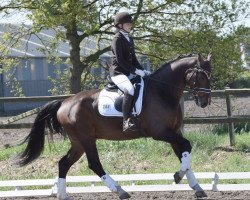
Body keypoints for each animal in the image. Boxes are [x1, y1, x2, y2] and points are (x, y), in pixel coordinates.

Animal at [18, 53, 212, 200]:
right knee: (94, 164)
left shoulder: (174, 132)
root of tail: (64, 103)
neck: (163, 92)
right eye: (202, 76)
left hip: (78, 142)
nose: (205, 102)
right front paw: (178, 176)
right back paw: (120, 191)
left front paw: (196, 186)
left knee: (64, 163)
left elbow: (183, 155)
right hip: (86, 139)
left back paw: (63, 195)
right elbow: (187, 146)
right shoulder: (160, 132)